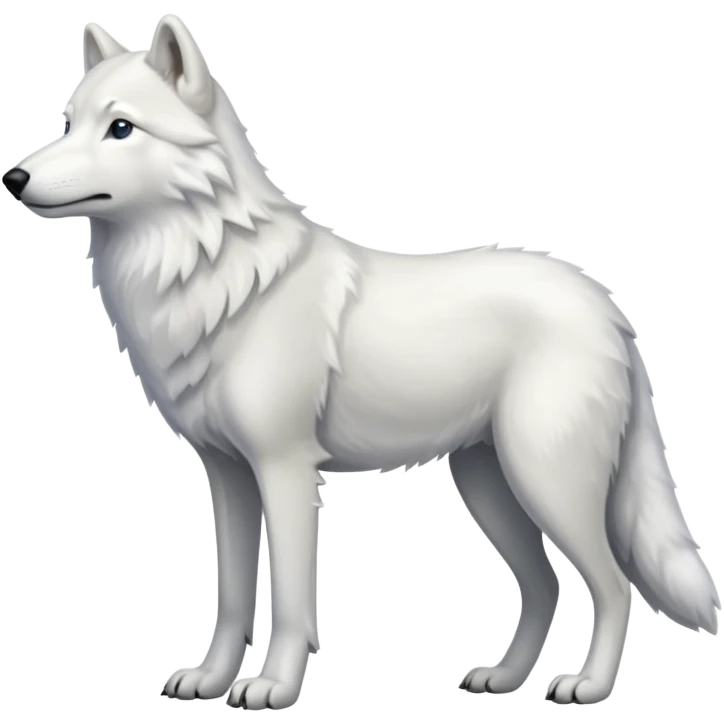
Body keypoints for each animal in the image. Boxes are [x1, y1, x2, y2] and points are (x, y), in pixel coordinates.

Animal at [3, 14, 719, 710]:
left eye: (121, 128)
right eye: (68, 123)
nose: (14, 178)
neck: (215, 276)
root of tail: (606, 304)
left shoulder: (286, 472)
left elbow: (291, 600)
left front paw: (272, 688)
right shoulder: (227, 475)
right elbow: (232, 596)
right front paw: (208, 681)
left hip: (546, 481)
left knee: (614, 585)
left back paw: (587, 688)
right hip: (488, 484)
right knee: (545, 586)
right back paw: (504, 678)